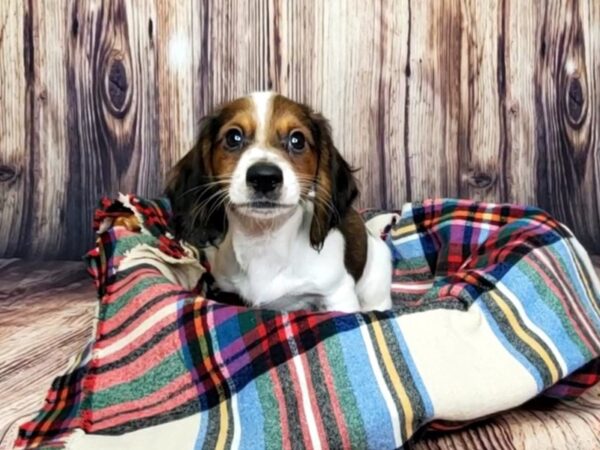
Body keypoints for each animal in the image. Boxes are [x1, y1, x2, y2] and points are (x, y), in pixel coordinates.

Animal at [168, 89, 394, 312]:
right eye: (233, 137)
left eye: (297, 140)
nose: (264, 178)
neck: (264, 240)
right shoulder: (225, 290)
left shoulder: (337, 294)